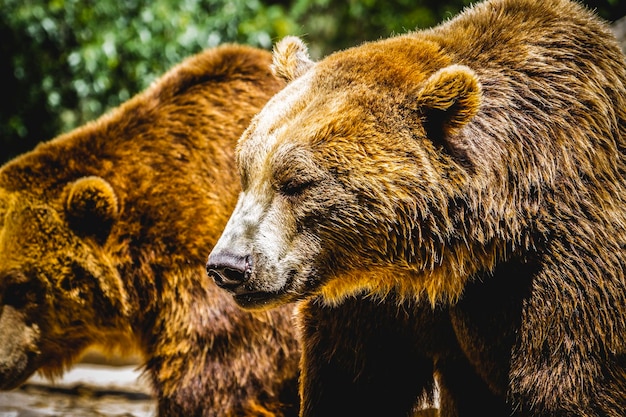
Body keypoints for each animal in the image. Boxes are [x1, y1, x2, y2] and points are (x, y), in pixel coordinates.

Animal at [207, 0, 624, 416]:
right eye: (245, 173)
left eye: (296, 182)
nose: (228, 265)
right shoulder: (376, 301)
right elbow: (352, 384)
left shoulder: (566, 263)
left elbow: (569, 381)